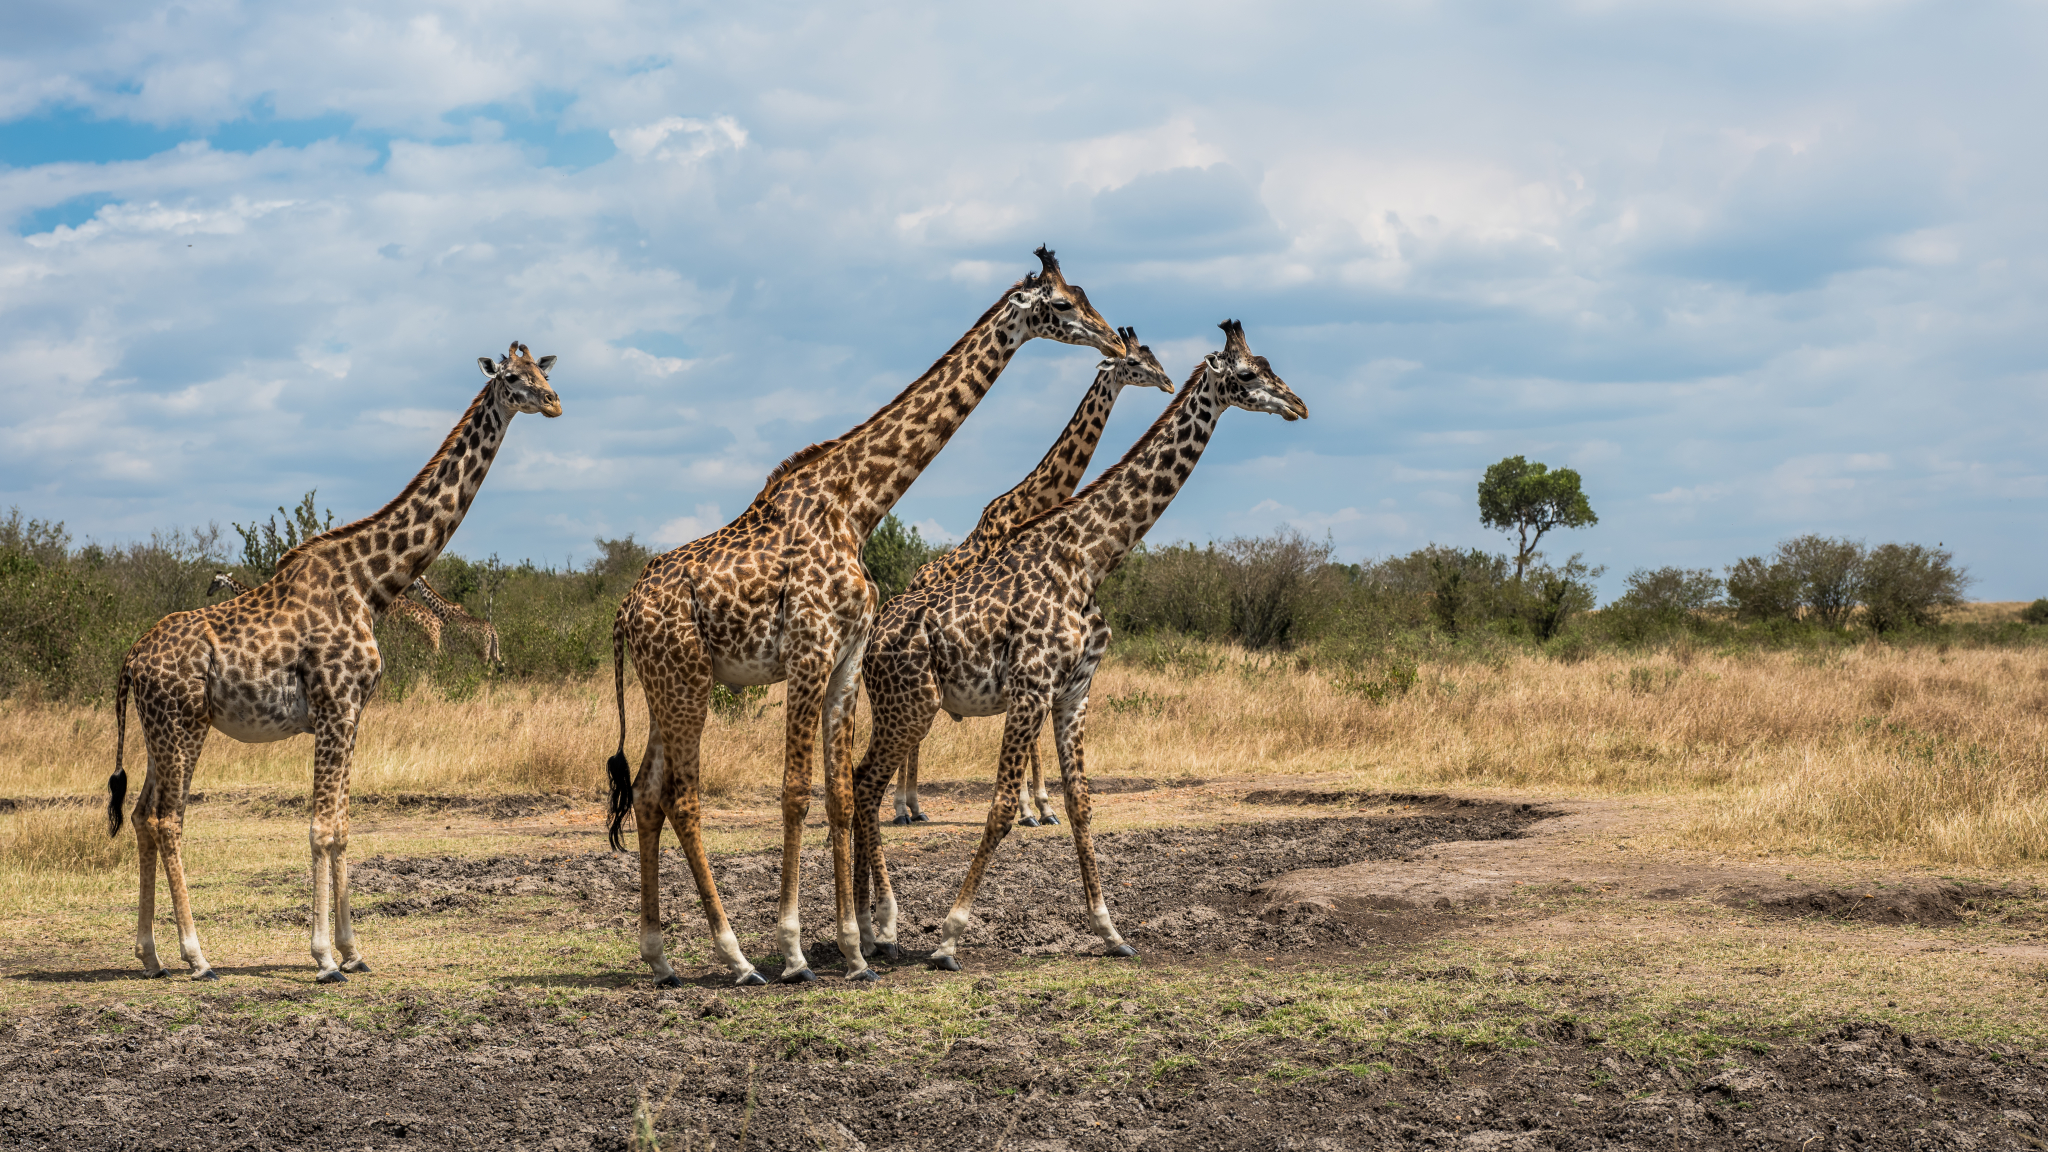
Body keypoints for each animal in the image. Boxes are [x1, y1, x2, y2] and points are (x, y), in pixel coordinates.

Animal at [598, 247, 1130, 983]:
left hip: (665, 683)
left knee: (649, 793)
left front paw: (854, 950)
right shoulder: (810, 649)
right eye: (1061, 303)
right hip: (688, 681)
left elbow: (841, 793)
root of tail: (626, 610)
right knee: (682, 793)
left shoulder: (847, 657)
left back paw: (661, 957)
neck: (855, 505)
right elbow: (796, 790)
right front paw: (796, 952)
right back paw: (737, 957)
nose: (1115, 340)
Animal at [892, 327, 1179, 819]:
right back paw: (905, 806)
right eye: (1134, 362)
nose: (1167, 382)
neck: (1031, 504)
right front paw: (1033, 806)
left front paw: (1041, 804)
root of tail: (915, 578)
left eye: (1152, 356)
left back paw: (911, 804)